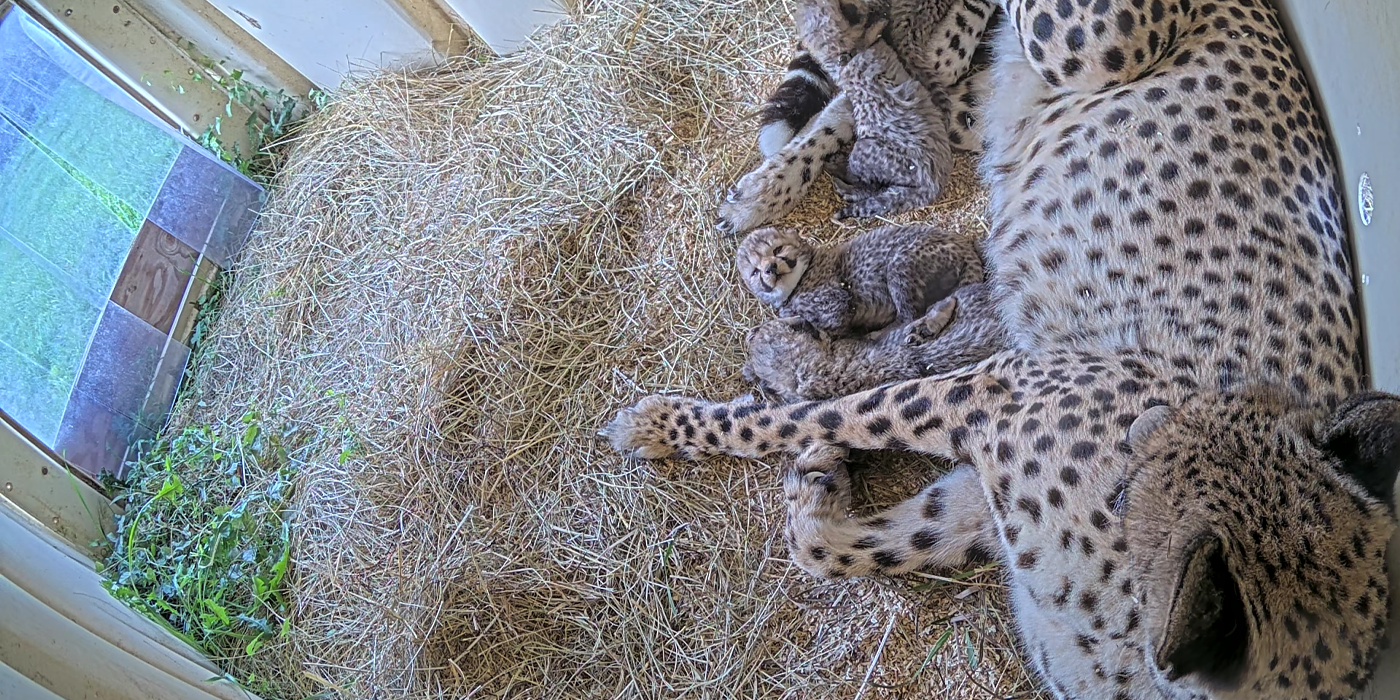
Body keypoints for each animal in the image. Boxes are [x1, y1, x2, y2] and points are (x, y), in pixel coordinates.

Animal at [610, 1, 1400, 700]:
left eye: (1146, 477)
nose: (1143, 428)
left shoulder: (990, 473)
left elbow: (853, 541)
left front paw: (815, 493)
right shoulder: (995, 389)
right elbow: (807, 416)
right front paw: (661, 425)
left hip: (983, 98)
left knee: (894, 82)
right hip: (1092, 45)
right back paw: (772, 169)